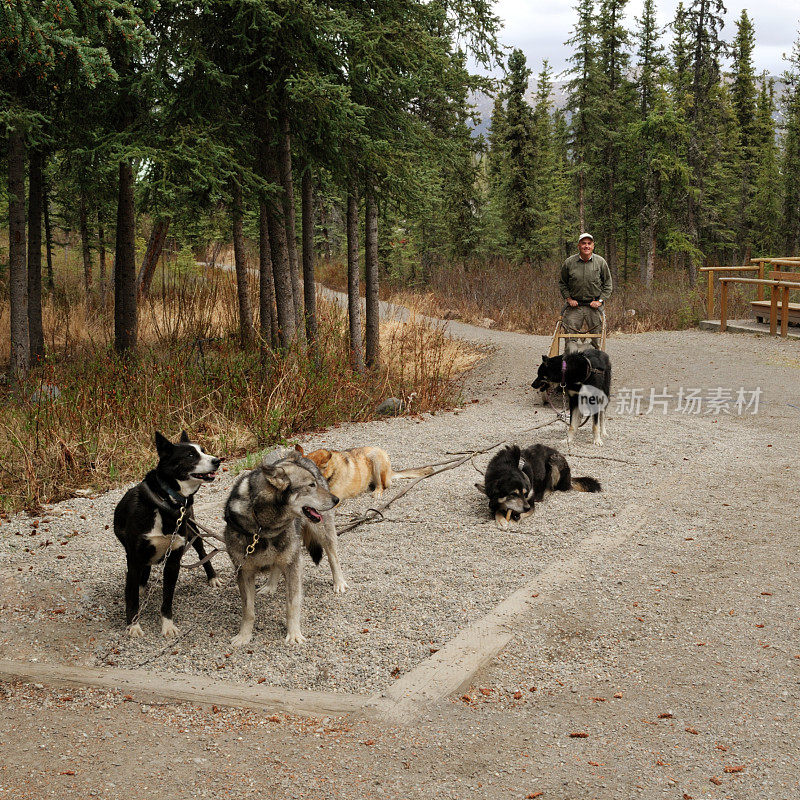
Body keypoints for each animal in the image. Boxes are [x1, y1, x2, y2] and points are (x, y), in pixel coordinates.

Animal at [111, 432, 220, 636]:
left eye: (203, 450)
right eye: (190, 455)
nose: (217, 460)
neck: (166, 502)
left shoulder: (173, 561)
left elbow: (167, 598)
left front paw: (167, 625)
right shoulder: (134, 559)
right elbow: (132, 597)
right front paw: (133, 624)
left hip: (193, 531)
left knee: (203, 553)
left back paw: (213, 577)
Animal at [222, 450, 346, 644]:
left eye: (315, 484)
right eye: (311, 485)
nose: (336, 499)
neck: (263, 528)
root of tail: (299, 455)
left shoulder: (293, 564)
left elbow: (292, 604)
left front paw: (294, 633)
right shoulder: (244, 571)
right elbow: (248, 610)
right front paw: (244, 635)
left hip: (322, 532)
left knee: (333, 556)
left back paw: (339, 582)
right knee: (276, 566)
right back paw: (270, 585)